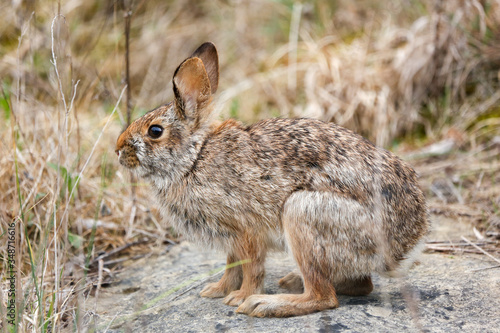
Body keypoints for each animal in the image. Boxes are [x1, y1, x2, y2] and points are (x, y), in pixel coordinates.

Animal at [115, 42, 428, 316]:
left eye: (155, 131)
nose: (118, 150)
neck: (193, 159)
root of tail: (405, 243)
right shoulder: (231, 238)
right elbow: (231, 266)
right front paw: (217, 290)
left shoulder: (246, 229)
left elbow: (251, 267)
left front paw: (240, 297)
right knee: (360, 284)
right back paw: (290, 282)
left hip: (304, 213)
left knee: (324, 297)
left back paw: (266, 304)